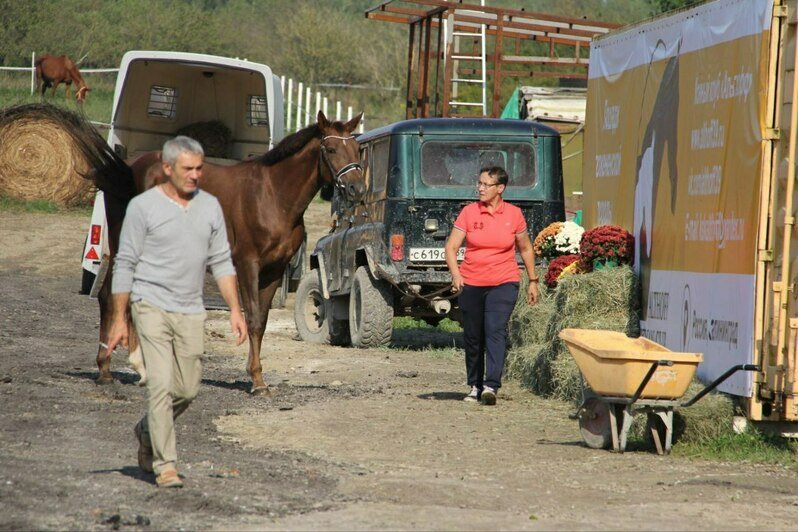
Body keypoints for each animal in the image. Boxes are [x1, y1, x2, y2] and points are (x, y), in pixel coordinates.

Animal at [64, 108, 364, 392]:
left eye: (356, 148)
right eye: (331, 149)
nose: (357, 189)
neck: (273, 195)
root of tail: (129, 170)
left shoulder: (273, 271)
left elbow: (262, 321)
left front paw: (258, 378)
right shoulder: (247, 264)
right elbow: (252, 318)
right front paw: (257, 382)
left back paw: (143, 369)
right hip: (124, 247)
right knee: (109, 296)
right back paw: (105, 371)